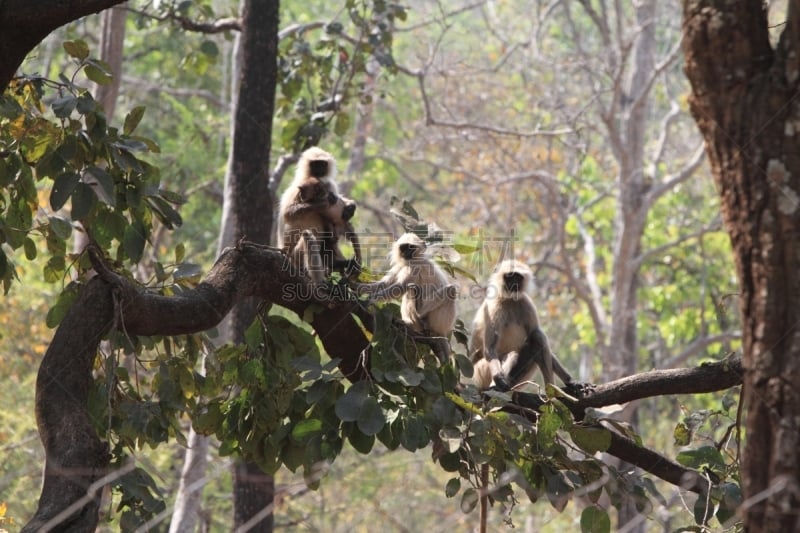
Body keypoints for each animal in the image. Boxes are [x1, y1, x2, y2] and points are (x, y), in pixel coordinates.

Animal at [276, 145, 360, 282]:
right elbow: (287, 214)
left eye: (322, 164)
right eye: (315, 164)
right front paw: (320, 203)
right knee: (309, 235)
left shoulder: (327, 185)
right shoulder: (298, 188)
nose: (319, 169)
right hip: (293, 253)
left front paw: (349, 206)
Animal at [360, 232, 460, 360]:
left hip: (436, 320)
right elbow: (385, 283)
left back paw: (420, 314)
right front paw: (353, 285)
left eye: (411, 247)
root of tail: (442, 332)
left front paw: (370, 300)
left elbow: (400, 287)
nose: (407, 253)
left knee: (449, 290)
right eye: (404, 247)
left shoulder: (414, 266)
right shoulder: (401, 266)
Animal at [468, 258, 576, 390]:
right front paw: (498, 378)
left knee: (537, 336)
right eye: (509, 277)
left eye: (517, 277)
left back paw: (551, 389)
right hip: (481, 371)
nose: (514, 283)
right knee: (513, 354)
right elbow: (490, 348)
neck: (510, 300)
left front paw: (569, 380)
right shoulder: (494, 306)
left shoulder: (526, 303)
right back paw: (495, 384)